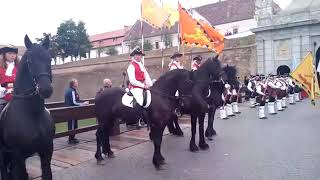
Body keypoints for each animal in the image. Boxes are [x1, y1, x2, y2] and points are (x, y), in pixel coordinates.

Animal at [0, 35, 54, 180]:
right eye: (30, 61)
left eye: (49, 59)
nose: (45, 89)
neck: (33, 114)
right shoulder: (18, 155)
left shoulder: (46, 152)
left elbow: (47, 174)